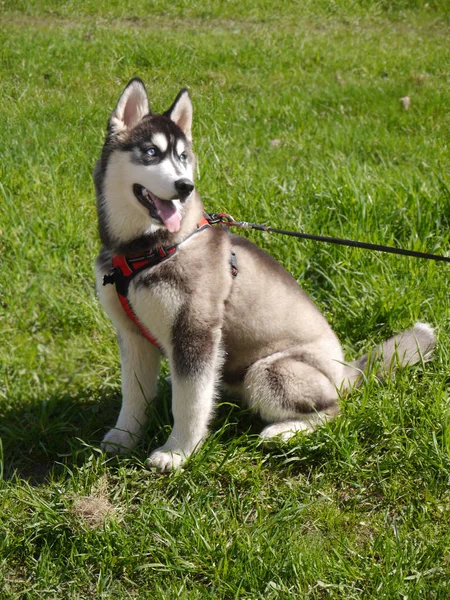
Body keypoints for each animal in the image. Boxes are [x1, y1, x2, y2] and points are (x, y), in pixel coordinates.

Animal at [93, 77, 434, 472]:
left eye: (182, 156)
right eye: (150, 152)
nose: (184, 186)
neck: (144, 251)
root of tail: (346, 372)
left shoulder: (195, 330)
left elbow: (189, 402)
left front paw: (178, 452)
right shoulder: (133, 335)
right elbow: (133, 394)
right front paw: (124, 437)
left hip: (269, 371)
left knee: (332, 410)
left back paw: (283, 432)